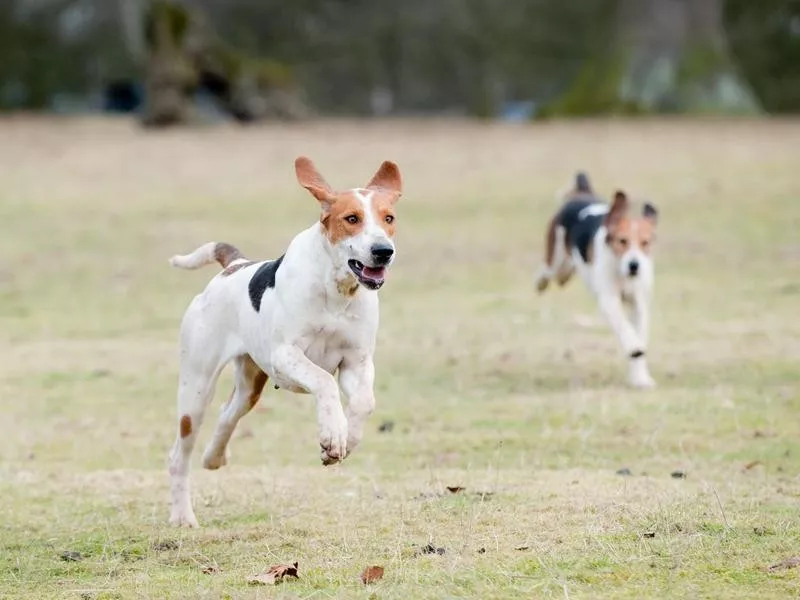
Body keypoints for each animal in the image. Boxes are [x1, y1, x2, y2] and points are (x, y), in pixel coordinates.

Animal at [165, 157, 400, 528]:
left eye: (388, 218)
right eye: (352, 219)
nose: (383, 251)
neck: (337, 289)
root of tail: (235, 265)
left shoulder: (357, 362)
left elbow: (364, 402)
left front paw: (344, 441)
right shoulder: (285, 356)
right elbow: (323, 381)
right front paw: (333, 433)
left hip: (249, 385)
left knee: (228, 413)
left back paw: (214, 457)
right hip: (196, 389)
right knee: (179, 455)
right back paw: (183, 515)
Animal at [536, 172, 660, 390]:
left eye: (645, 242)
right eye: (622, 241)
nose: (634, 265)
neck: (622, 272)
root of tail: (582, 193)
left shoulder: (639, 304)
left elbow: (639, 335)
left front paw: (640, 378)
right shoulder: (609, 300)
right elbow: (626, 329)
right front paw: (634, 346)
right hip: (556, 260)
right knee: (548, 271)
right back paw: (540, 281)